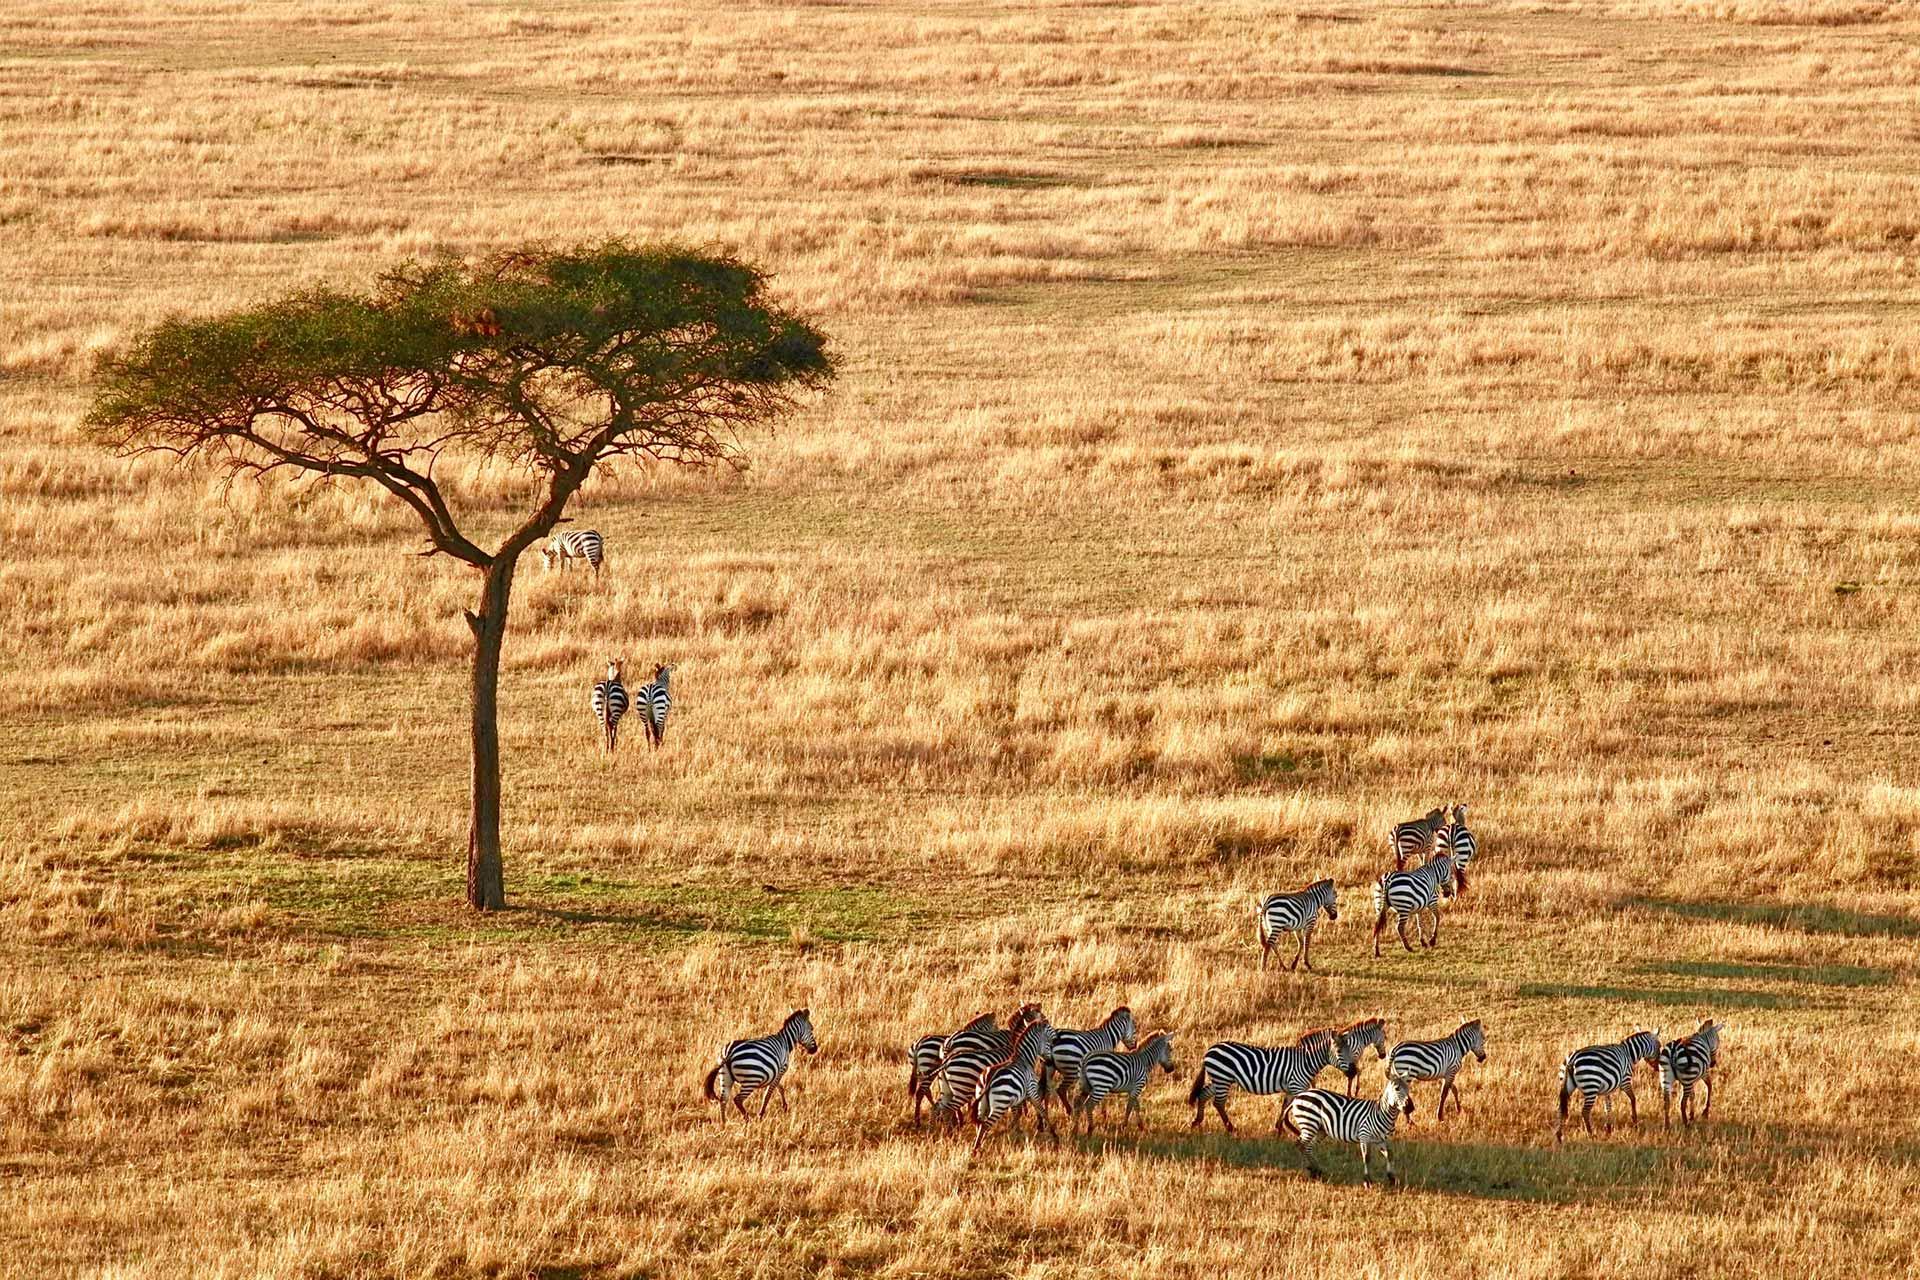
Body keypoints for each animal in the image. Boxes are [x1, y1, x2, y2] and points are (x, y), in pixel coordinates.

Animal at [971, 1022, 1059, 1151]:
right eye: (1050, 1042)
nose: (1050, 1062)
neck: (1024, 1058)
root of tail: (988, 1079)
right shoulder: (1032, 1091)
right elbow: (1042, 1110)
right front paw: (1054, 1135)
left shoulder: (1017, 1098)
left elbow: (1017, 1114)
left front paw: (1013, 1131)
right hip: (999, 1105)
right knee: (985, 1125)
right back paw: (977, 1149)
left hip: (982, 1103)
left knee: (980, 1124)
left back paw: (979, 1145)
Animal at [1187, 1030, 1338, 1135]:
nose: (1313, 1084)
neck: (1304, 1059)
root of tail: (1209, 1050)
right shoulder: (1296, 1086)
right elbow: (1293, 1106)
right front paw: (1291, 1129)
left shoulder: (1291, 1088)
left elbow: (1285, 1107)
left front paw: (1281, 1128)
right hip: (1222, 1078)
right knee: (1218, 1103)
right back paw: (1231, 1128)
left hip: (1219, 1079)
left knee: (1203, 1094)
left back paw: (1197, 1121)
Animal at [1285, 1074, 1414, 1186]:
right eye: (1397, 1089)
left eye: (1408, 1088)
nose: (1410, 1107)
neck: (1381, 1113)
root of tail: (1299, 1096)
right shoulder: (1364, 1135)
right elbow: (1366, 1157)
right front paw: (1367, 1181)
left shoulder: (1380, 1140)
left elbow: (1389, 1155)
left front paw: (1392, 1178)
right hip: (1309, 1123)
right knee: (1300, 1144)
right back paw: (1305, 1170)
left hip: (1320, 1130)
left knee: (1308, 1147)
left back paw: (1316, 1171)